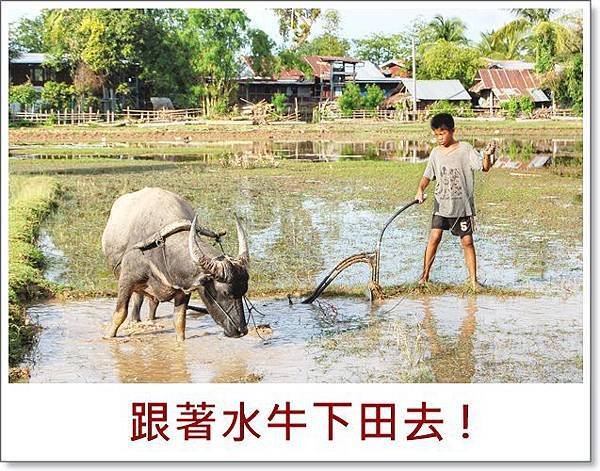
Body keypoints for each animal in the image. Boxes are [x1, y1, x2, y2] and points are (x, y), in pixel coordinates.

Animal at [101, 187, 248, 340]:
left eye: (244, 291)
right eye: (226, 293)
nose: (242, 330)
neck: (160, 249)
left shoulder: (184, 290)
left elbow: (179, 321)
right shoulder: (127, 280)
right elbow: (120, 314)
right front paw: (108, 337)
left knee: (151, 303)